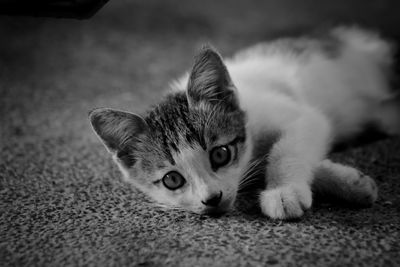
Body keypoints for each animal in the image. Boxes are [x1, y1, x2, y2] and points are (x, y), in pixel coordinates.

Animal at [89, 26, 398, 220]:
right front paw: (351, 183)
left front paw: (283, 192)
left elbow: (286, 149)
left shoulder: (300, 115)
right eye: (172, 180)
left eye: (221, 154)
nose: (212, 199)